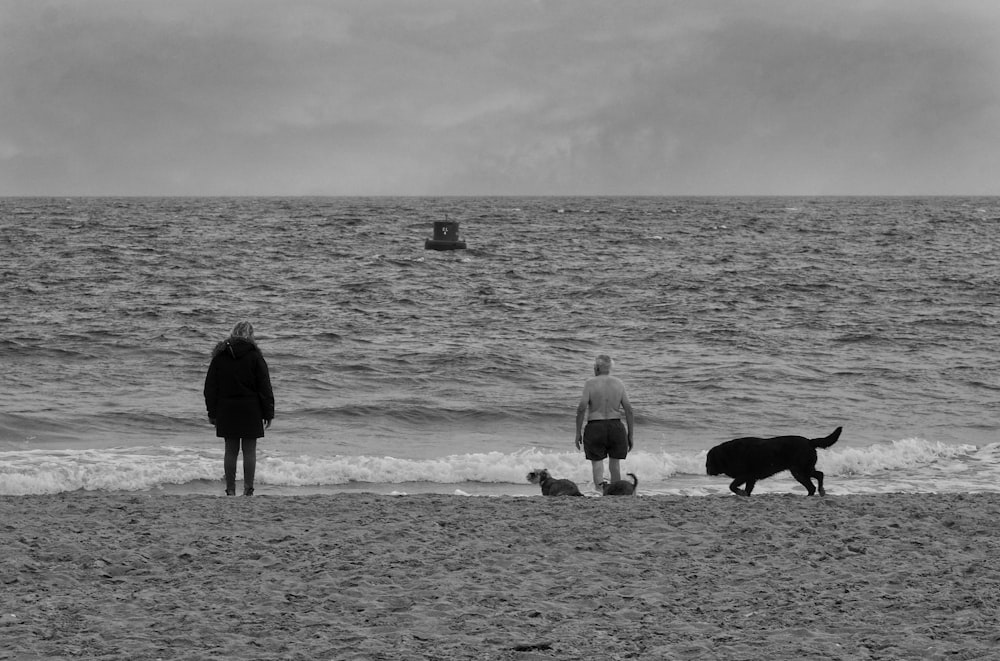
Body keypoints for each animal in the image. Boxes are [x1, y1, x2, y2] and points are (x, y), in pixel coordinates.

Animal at [704, 428, 844, 496]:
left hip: (802, 469)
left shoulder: (745, 475)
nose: (707, 471)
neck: (729, 454)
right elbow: (747, 490)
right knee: (812, 486)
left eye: (709, 461)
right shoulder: (751, 478)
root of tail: (809, 441)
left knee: (819, 475)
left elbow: (732, 486)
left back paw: (821, 490)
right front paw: (745, 495)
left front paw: (740, 492)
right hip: (798, 472)